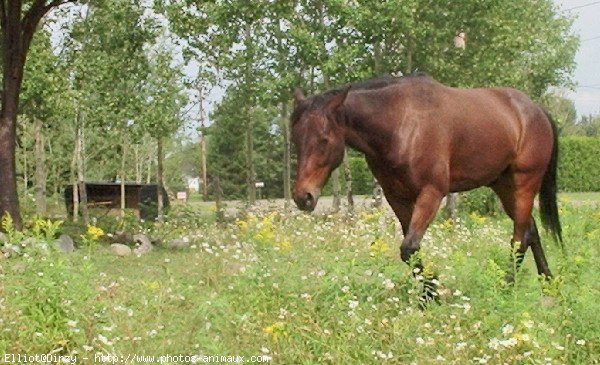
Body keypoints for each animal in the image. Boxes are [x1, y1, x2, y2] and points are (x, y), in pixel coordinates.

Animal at [290, 74, 564, 298]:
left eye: (324, 139)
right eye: (295, 139)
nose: (303, 196)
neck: (401, 123)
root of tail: (536, 110)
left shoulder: (432, 193)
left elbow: (409, 247)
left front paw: (432, 292)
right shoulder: (397, 198)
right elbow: (410, 249)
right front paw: (428, 293)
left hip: (524, 183)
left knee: (519, 238)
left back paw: (507, 287)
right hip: (504, 186)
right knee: (530, 230)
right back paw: (548, 284)